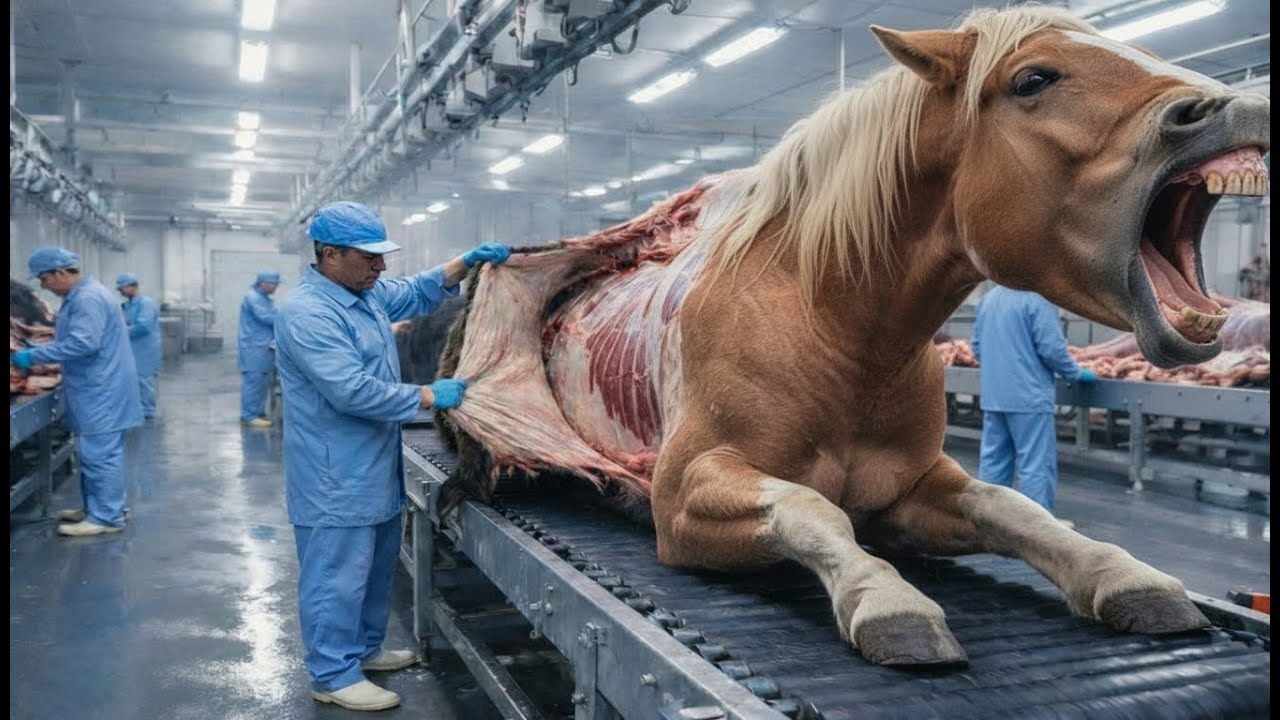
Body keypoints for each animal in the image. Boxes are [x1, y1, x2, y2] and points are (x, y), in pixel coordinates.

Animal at [436, 6, 1270, 666]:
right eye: (1033, 78)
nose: (1237, 107)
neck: (838, 330)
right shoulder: (679, 497)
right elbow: (810, 509)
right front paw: (890, 604)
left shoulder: (912, 488)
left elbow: (1015, 509)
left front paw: (1127, 575)